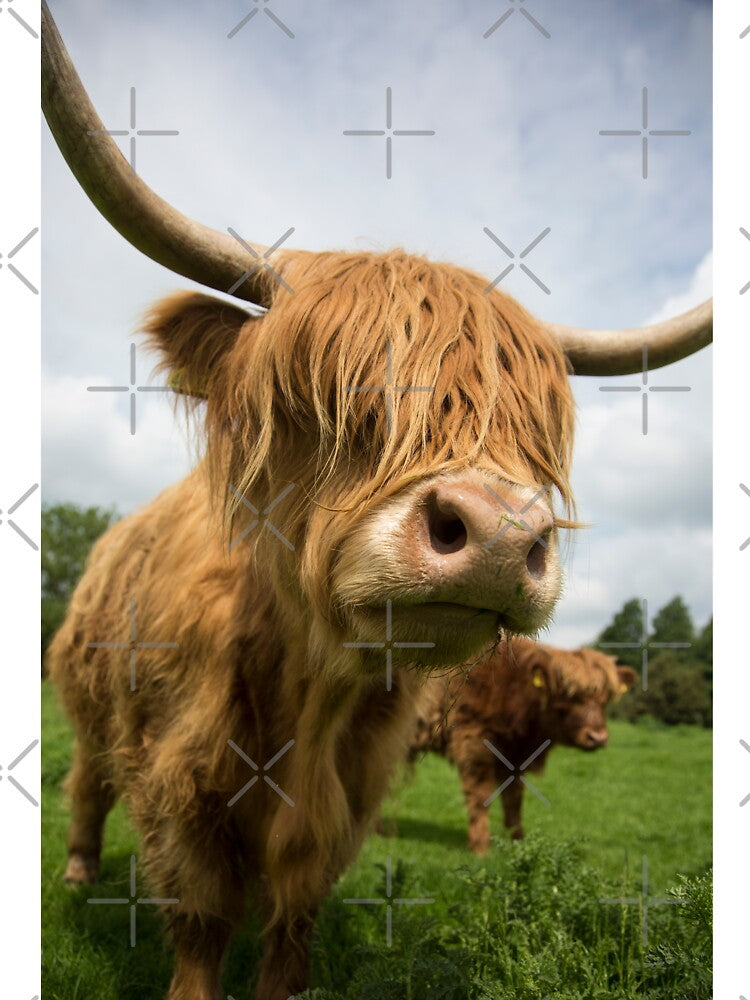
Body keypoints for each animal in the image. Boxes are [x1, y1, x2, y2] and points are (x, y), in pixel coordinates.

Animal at [405, 639, 637, 853]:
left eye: (606, 699)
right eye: (568, 695)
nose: (597, 737)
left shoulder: (514, 757)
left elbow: (513, 799)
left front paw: (517, 842)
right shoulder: (473, 741)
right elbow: (480, 794)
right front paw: (480, 847)